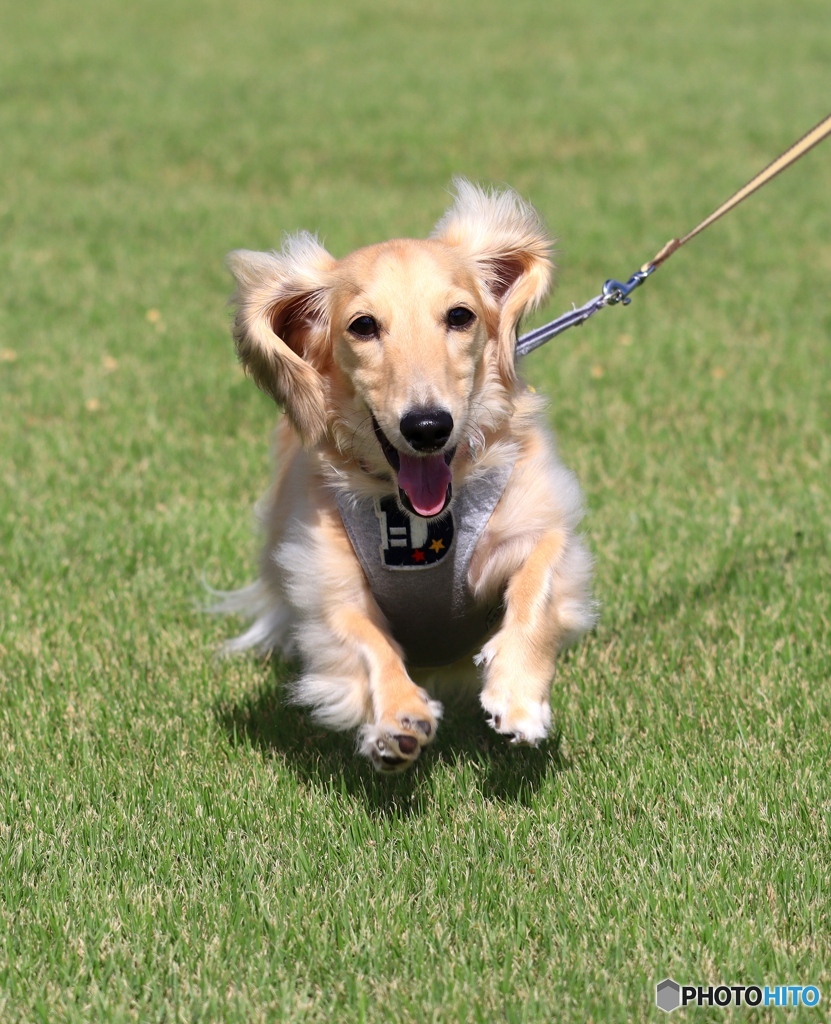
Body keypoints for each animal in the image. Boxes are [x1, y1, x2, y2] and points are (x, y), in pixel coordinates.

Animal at [219, 182, 597, 770]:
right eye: (363, 326)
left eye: (460, 316)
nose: (427, 427)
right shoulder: (326, 583)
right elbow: (365, 641)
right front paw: (397, 717)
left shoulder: (539, 525)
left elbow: (538, 585)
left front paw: (517, 696)